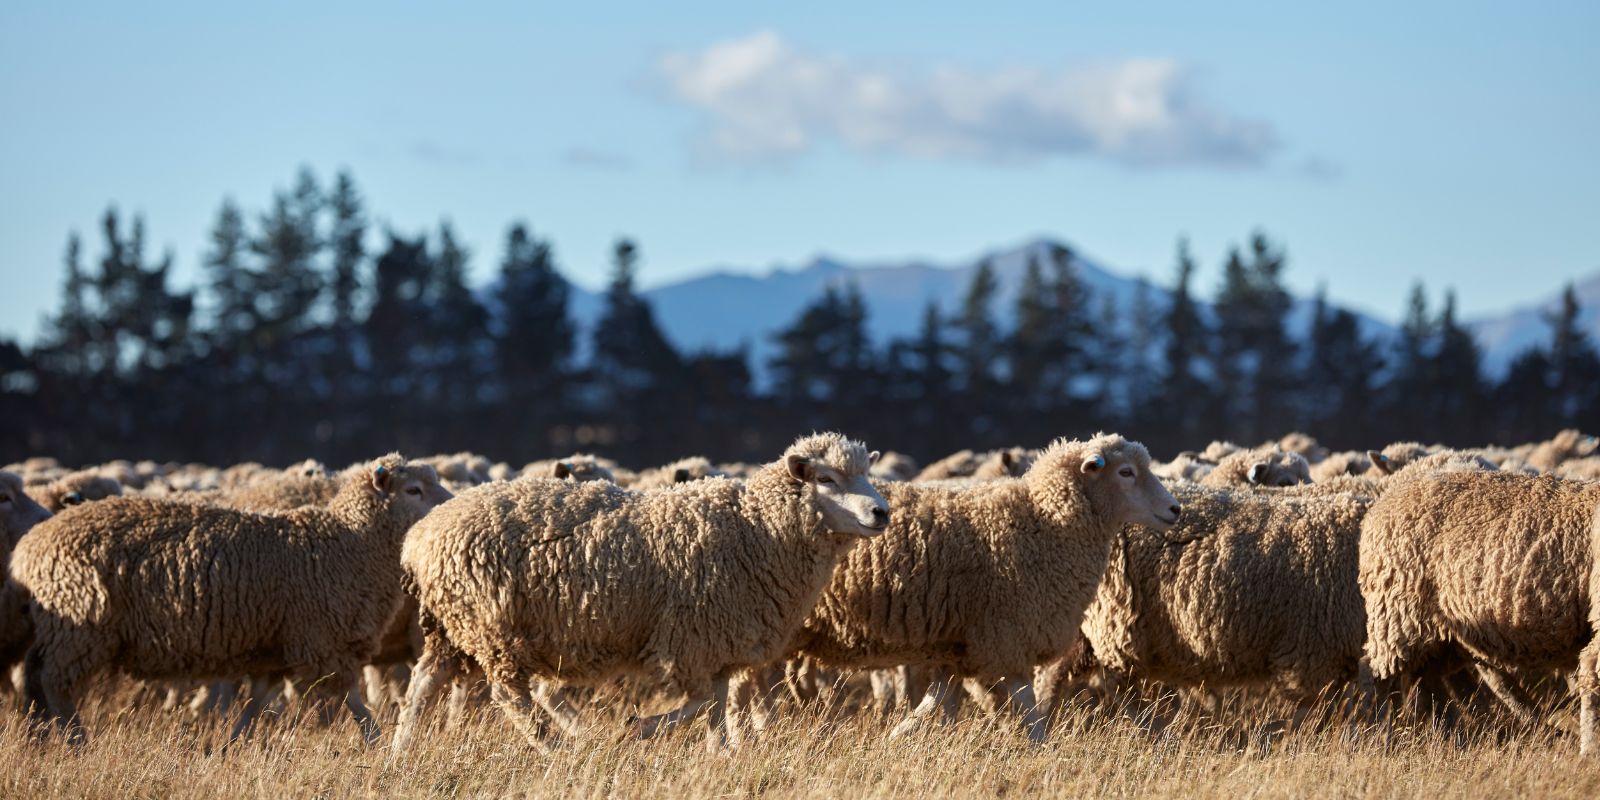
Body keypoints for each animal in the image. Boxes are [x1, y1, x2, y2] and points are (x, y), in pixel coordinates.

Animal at [12, 454, 451, 745]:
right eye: (413, 489)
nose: (452, 504)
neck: (347, 543)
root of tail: (29, 546)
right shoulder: (320, 641)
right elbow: (353, 700)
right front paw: (377, 741)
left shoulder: (277, 646)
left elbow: (256, 702)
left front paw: (231, 743)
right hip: (80, 624)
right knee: (54, 683)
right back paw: (76, 740)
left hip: (63, 630)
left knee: (34, 677)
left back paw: (41, 734)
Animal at [390, 433, 891, 755]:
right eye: (826, 479)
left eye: (866, 474)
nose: (880, 512)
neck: (758, 529)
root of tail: (419, 536)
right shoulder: (691, 638)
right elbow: (700, 702)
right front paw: (638, 727)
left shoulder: (719, 644)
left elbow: (716, 705)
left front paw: (720, 754)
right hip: (491, 625)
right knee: (510, 695)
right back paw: (558, 748)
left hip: (451, 626)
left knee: (423, 684)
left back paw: (401, 751)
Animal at [790, 433, 1180, 742]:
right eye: (1126, 472)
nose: (1175, 509)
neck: (1044, 522)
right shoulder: (1006, 639)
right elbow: (1030, 714)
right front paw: (1042, 754)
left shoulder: (957, 648)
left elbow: (933, 705)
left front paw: (894, 739)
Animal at [1360, 469, 1600, 746]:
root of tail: (1381, 503)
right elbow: (1593, 674)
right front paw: (1590, 747)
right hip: (1397, 612)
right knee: (1377, 676)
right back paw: (1381, 735)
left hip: (1442, 634)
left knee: (1429, 680)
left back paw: (1446, 736)